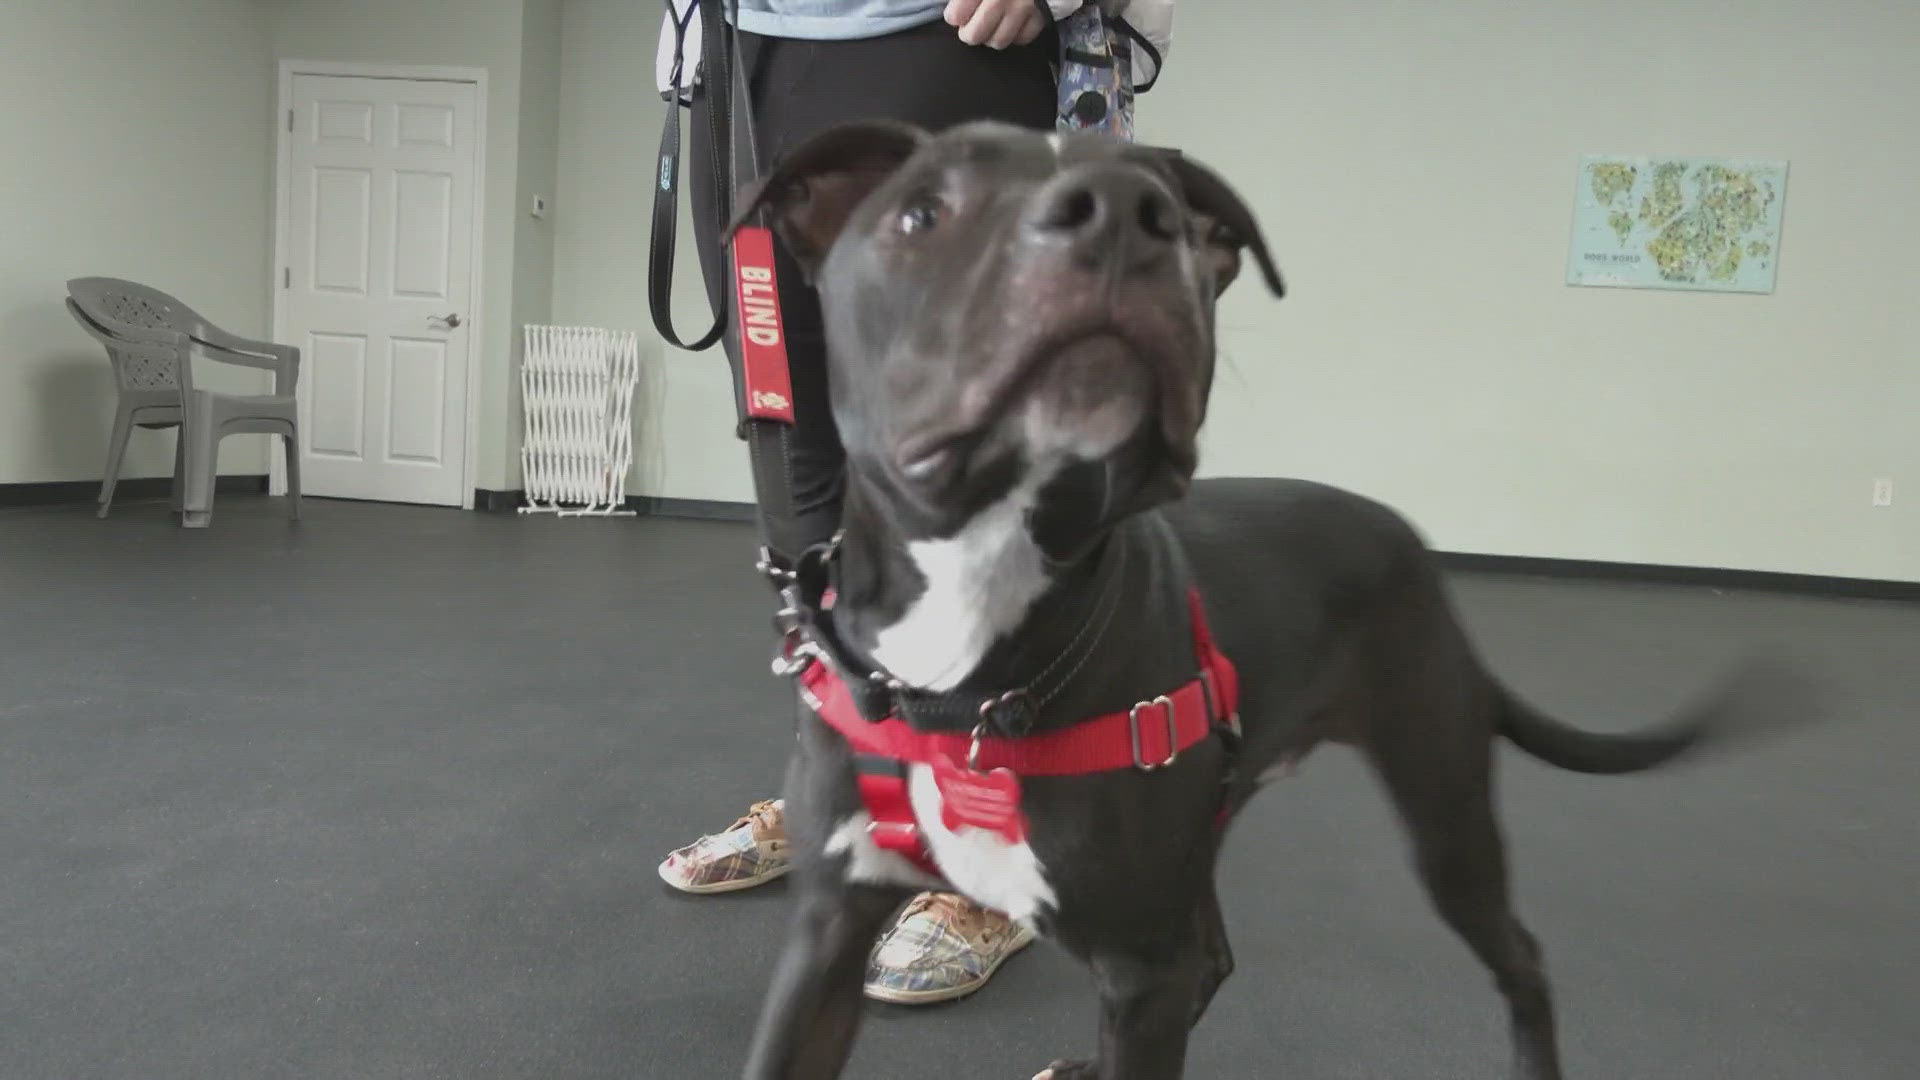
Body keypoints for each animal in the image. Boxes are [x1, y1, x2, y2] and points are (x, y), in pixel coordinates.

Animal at [721, 122, 1797, 1068]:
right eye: (921, 213)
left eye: (1170, 217)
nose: (1124, 214)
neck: (963, 660)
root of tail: (1409, 544)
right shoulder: (827, 932)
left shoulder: (1138, 962)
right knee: (1215, 958)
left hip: (1442, 810)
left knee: (1515, 957)